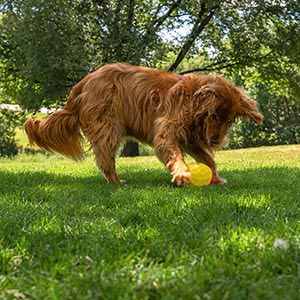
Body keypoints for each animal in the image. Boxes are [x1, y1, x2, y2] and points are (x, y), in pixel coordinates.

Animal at [24, 62, 264, 185]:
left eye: (229, 120)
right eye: (214, 116)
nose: (214, 141)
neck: (192, 101)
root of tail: (82, 83)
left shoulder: (190, 139)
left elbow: (208, 159)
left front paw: (215, 177)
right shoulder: (167, 131)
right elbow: (175, 154)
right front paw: (182, 173)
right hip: (109, 126)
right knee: (105, 159)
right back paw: (116, 181)